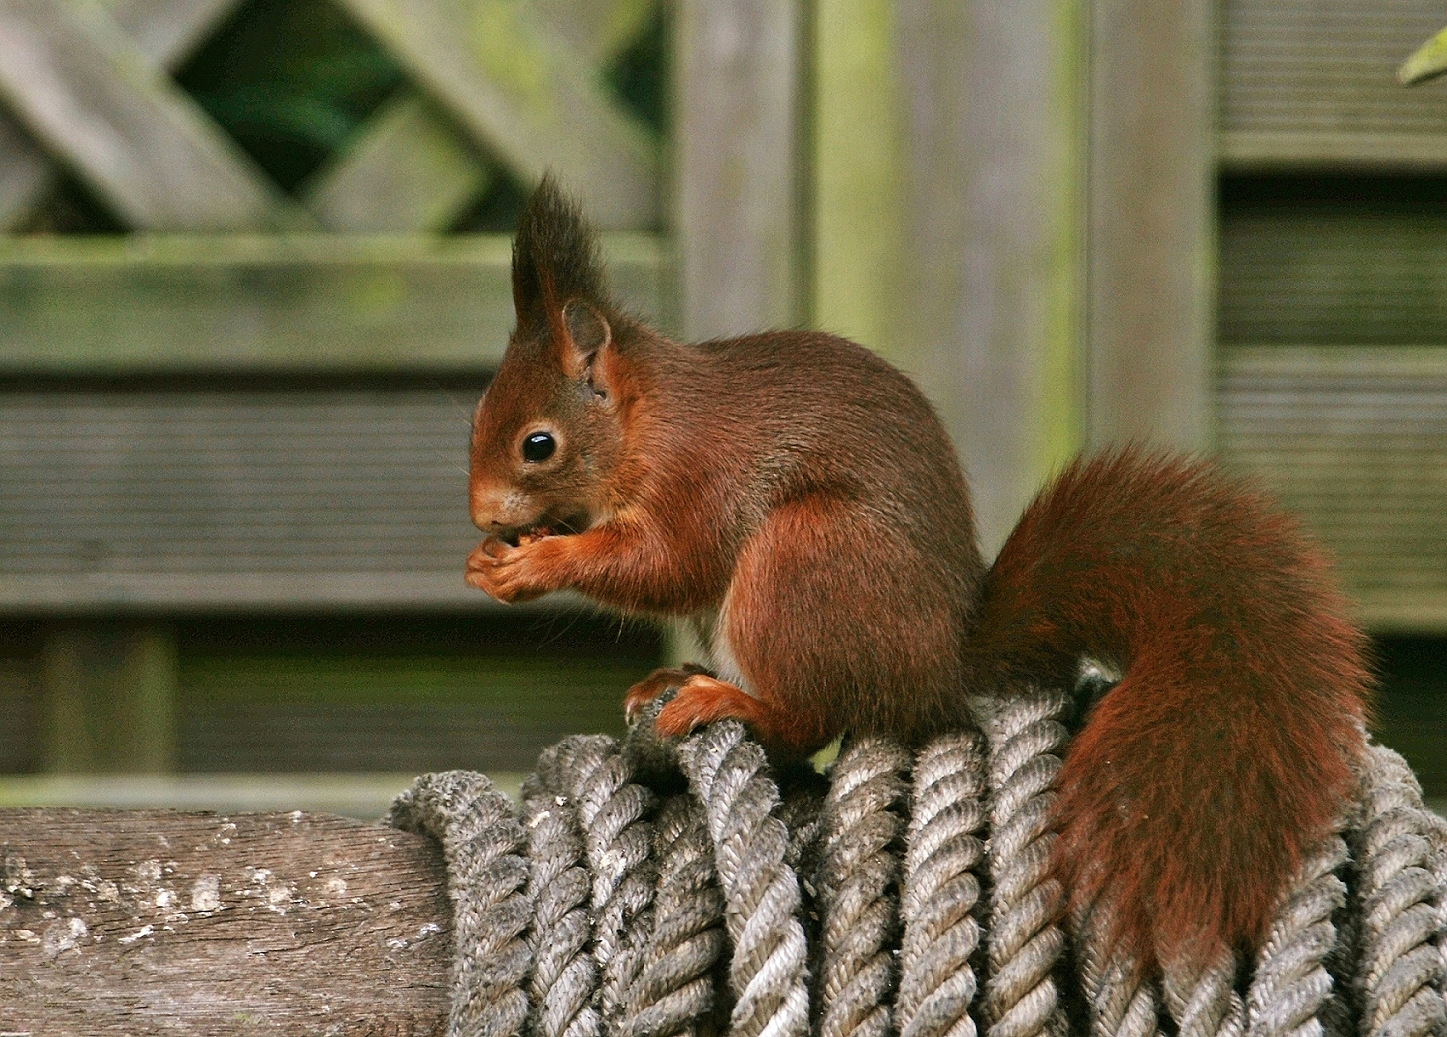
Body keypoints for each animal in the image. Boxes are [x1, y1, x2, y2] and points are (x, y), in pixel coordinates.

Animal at [463, 175, 1365, 971]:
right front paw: (495, 555)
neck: (646, 420)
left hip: (804, 560)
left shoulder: (699, 477)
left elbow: (666, 562)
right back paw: (678, 675)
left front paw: (533, 562)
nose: (479, 514)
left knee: (808, 715)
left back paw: (730, 699)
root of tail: (941, 663)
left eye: (537, 443)